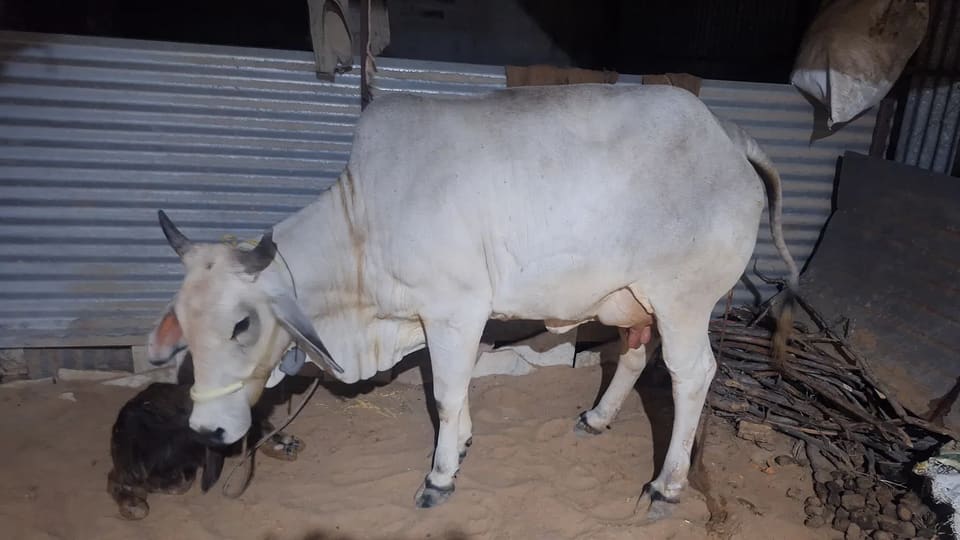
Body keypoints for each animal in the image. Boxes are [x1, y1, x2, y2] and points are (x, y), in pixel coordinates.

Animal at [145, 83, 798, 518]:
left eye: (241, 325)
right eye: (185, 327)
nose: (206, 429)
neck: (362, 223)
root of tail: (727, 135)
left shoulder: (455, 312)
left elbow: (446, 392)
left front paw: (441, 475)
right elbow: (453, 396)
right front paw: (458, 445)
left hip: (684, 300)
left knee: (692, 376)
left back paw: (667, 486)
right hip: (636, 300)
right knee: (635, 355)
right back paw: (597, 417)